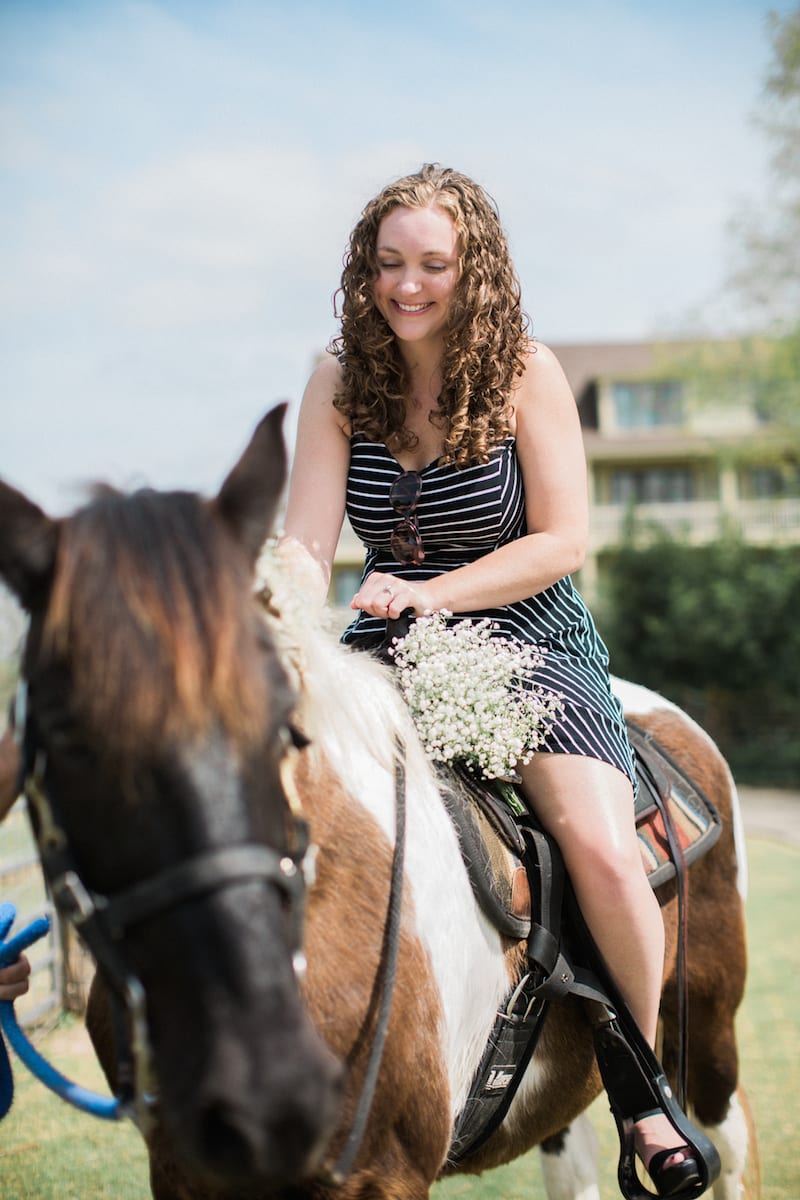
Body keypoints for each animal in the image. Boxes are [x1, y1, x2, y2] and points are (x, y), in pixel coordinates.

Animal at [0, 408, 753, 1195]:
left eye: (284, 719)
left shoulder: (382, 1173)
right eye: (61, 730)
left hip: (708, 1032)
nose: (266, 1089)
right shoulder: (181, 1173)